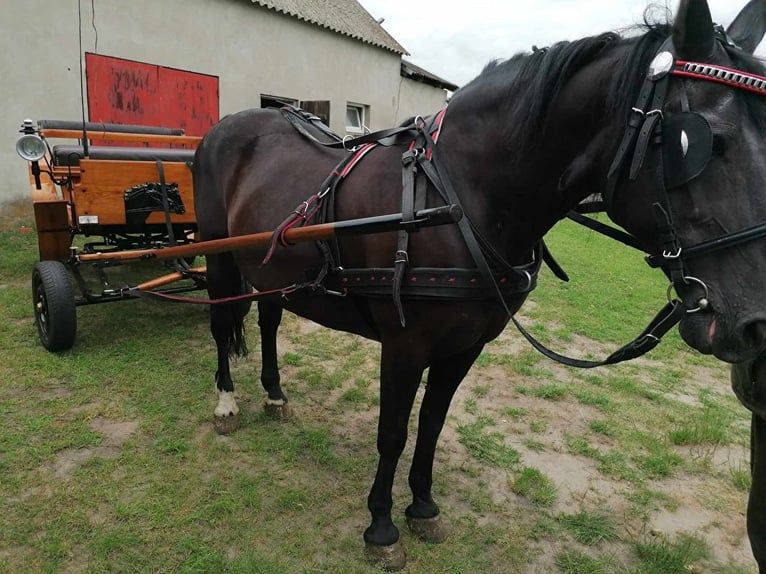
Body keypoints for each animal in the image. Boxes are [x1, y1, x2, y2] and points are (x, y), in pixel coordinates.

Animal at [194, 0, 766, 568]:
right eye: (698, 142)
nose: (755, 326)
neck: (458, 200)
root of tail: (229, 125)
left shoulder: (466, 345)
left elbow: (432, 424)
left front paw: (423, 507)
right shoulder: (404, 347)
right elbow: (392, 433)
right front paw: (381, 527)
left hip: (272, 272)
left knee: (268, 321)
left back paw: (274, 394)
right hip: (218, 257)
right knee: (221, 324)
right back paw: (226, 403)